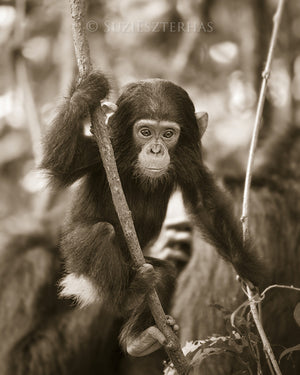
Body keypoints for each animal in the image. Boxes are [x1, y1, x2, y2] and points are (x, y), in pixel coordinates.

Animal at [40, 71, 264, 358]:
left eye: (168, 134)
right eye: (145, 132)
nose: (156, 150)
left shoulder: (189, 162)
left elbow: (204, 205)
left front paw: (251, 272)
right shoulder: (103, 149)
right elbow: (62, 164)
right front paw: (86, 92)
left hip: (135, 263)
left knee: (164, 274)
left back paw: (139, 339)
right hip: (76, 256)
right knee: (99, 233)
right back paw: (127, 297)